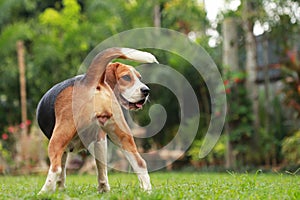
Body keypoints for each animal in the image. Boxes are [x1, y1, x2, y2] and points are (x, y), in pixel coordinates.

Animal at [36, 47, 158, 194]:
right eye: (126, 77)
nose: (146, 90)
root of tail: (90, 80)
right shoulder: (99, 139)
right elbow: (100, 169)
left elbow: (62, 170)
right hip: (121, 136)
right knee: (140, 163)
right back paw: (146, 191)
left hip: (58, 137)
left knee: (56, 168)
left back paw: (44, 191)